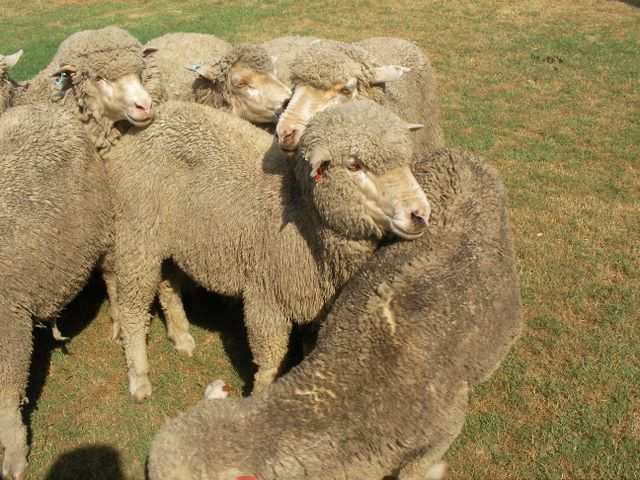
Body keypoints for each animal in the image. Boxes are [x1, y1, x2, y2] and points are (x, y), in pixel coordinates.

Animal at [102, 99, 430, 401]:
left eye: (405, 160)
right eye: (354, 165)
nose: (419, 214)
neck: (301, 211)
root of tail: (155, 118)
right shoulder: (267, 296)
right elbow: (270, 361)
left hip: (170, 237)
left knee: (168, 284)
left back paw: (181, 335)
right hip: (136, 233)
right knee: (133, 306)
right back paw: (139, 378)